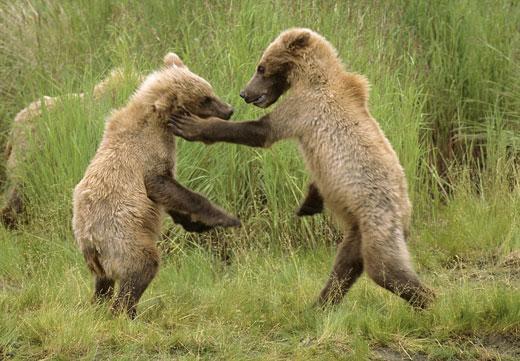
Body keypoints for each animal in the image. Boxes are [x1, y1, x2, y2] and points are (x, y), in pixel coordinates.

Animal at [171, 28, 434, 310]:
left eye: (261, 67)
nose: (244, 93)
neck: (308, 76)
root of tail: (406, 209)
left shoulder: (304, 107)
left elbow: (260, 131)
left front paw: (190, 124)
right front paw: (308, 204)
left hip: (377, 217)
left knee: (383, 268)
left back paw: (431, 301)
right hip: (358, 227)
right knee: (347, 263)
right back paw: (319, 306)